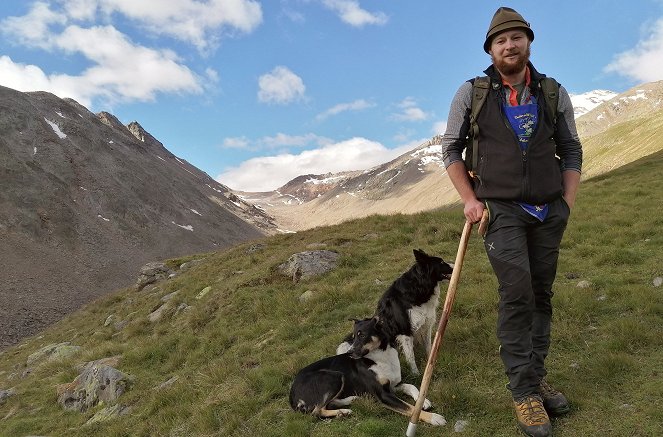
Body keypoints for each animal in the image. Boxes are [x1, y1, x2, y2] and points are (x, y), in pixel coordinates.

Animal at [290, 316, 446, 426]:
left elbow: (411, 386)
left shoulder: (392, 385)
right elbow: (410, 409)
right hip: (334, 376)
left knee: (327, 404)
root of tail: (291, 394)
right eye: (352, 337)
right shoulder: (383, 394)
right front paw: (434, 418)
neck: (380, 357)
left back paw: (348, 404)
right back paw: (343, 411)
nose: (349, 352)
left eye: (362, 335)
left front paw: (423, 401)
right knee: (316, 411)